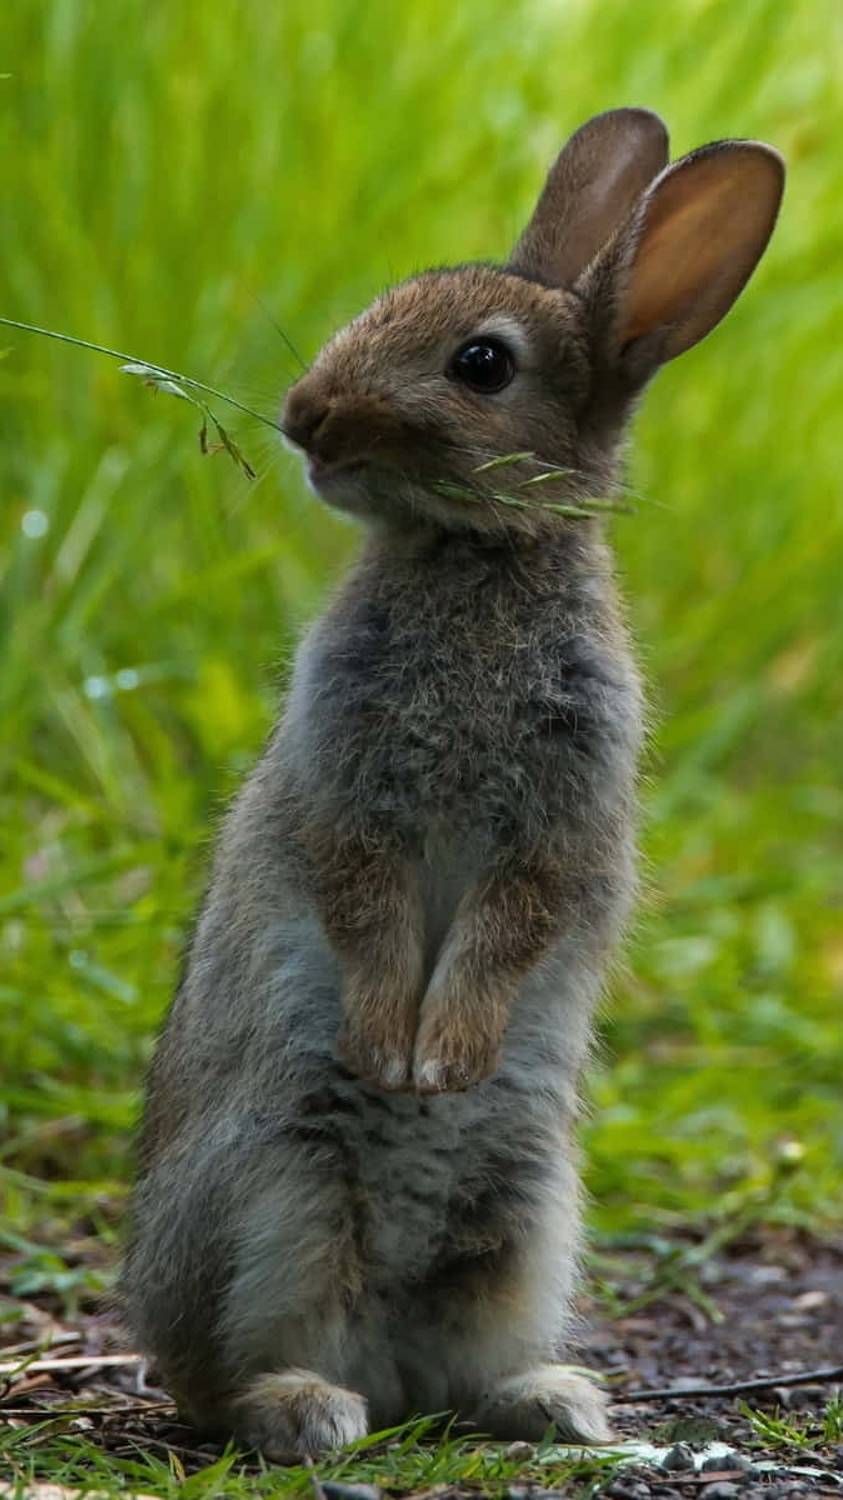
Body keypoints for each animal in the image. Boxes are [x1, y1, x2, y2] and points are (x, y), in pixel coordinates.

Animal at [118, 108, 780, 1464]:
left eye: (482, 364)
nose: (305, 417)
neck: (475, 555)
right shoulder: (349, 794)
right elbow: (365, 902)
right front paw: (395, 1054)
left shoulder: (560, 823)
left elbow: (512, 923)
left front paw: (444, 1066)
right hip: (280, 1190)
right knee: (224, 1379)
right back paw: (311, 1408)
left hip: (525, 1217)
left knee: (447, 1370)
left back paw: (551, 1399)